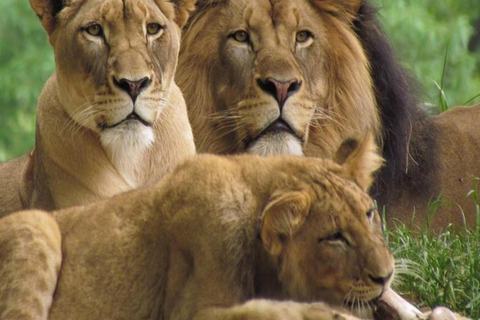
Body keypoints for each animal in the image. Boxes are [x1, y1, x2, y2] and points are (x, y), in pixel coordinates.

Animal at [0, 134, 396, 320]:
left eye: (369, 215)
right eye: (335, 238)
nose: (386, 276)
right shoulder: (186, 311)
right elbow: (262, 309)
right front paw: (327, 313)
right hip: (37, 223)